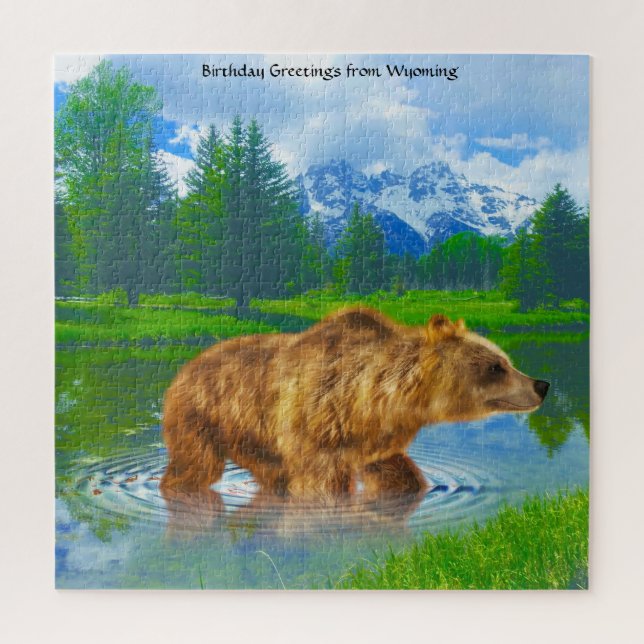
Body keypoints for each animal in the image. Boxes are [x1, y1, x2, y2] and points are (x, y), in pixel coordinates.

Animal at [160, 307, 549, 499]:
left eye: (506, 358)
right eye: (495, 367)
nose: (541, 384)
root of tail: (185, 367)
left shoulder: (374, 438)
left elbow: (398, 473)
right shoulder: (315, 430)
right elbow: (321, 480)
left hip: (255, 440)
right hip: (203, 417)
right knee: (194, 467)